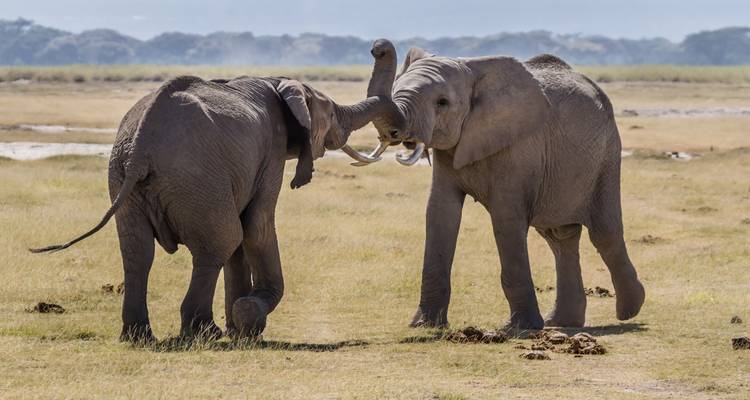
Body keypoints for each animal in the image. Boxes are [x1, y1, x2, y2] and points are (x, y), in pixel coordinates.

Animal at [31, 74, 394, 341]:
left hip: (123, 178)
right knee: (220, 241)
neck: (280, 82)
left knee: (138, 252)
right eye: (330, 113)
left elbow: (243, 235)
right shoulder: (271, 151)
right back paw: (204, 332)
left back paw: (138, 336)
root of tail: (141, 145)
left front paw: (240, 326)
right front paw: (248, 320)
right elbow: (256, 226)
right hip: (195, 176)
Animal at [355, 39, 646, 330]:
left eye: (442, 102)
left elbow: (506, 218)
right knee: (559, 237)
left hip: (606, 155)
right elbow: (440, 212)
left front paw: (520, 329)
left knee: (604, 233)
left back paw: (630, 310)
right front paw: (424, 326)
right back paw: (562, 322)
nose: (378, 47)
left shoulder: (519, 145)